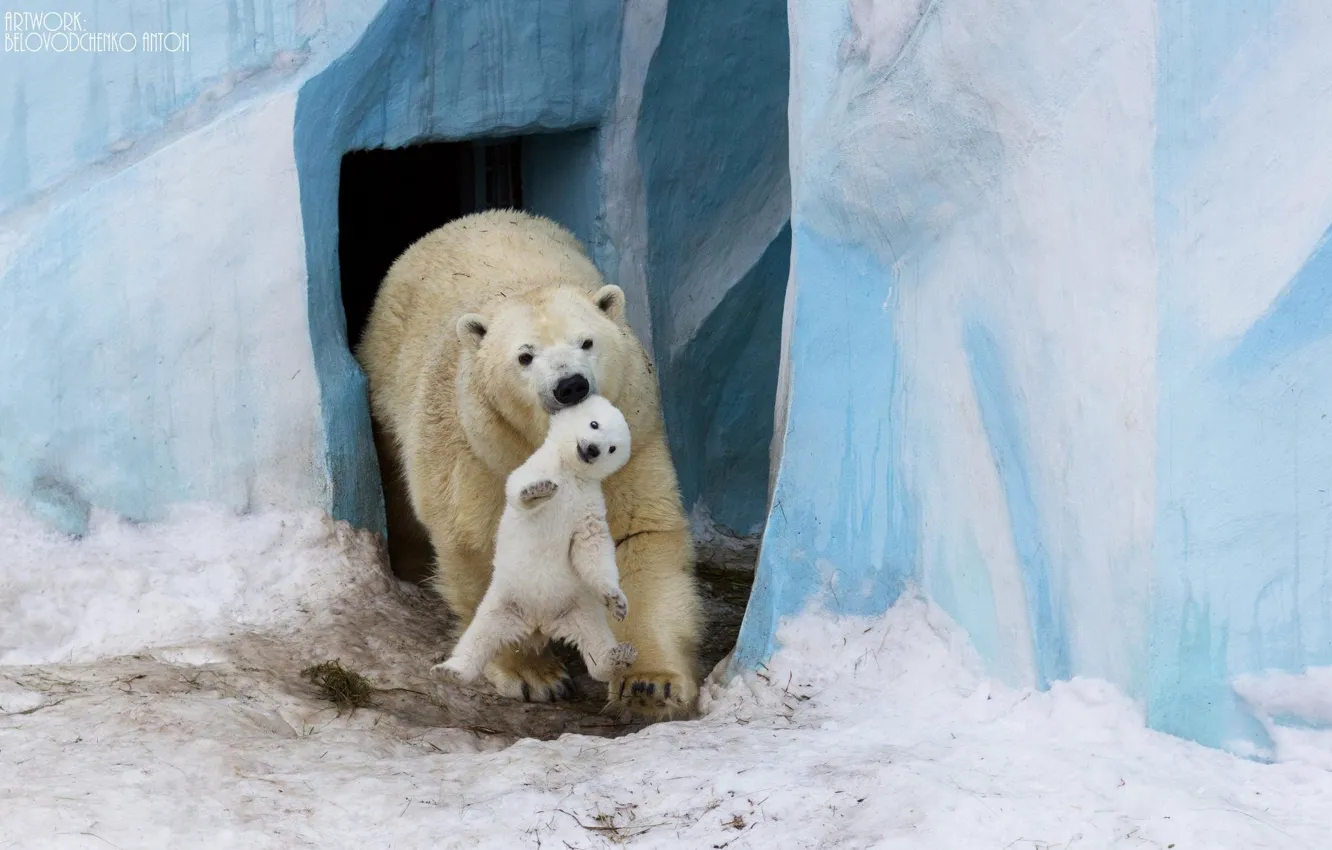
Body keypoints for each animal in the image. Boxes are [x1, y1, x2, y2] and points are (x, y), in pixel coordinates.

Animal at [433, 394, 639, 688]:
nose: (592, 450)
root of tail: (539, 623)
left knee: (595, 639)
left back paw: (618, 657)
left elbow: (592, 546)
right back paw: (451, 670)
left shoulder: (588, 504)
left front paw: (617, 602)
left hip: (577, 607)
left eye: (612, 448)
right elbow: (517, 487)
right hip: (503, 602)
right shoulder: (537, 466)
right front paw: (538, 491)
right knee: (478, 636)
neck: (570, 473)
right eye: (594, 423)